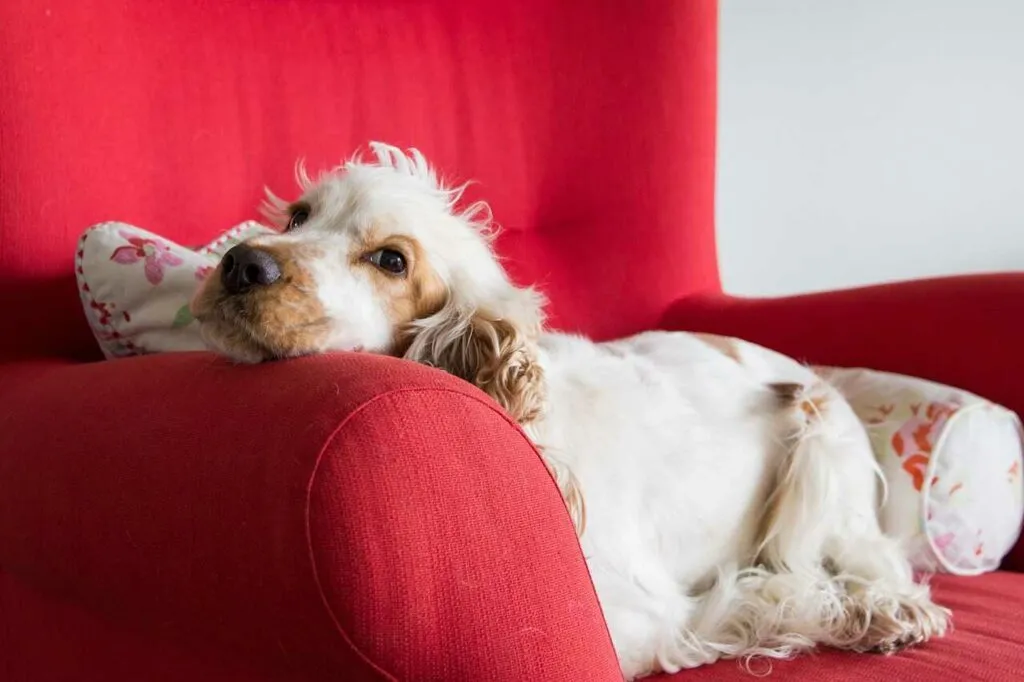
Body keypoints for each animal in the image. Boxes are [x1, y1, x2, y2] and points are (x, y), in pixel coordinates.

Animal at [193, 140, 950, 675]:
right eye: (298, 216)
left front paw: (857, 613)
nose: (243, 265)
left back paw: (887, 607)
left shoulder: (631, 620)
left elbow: (763, 596)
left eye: (391, 261)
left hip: (823, 454)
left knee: (873, 559)